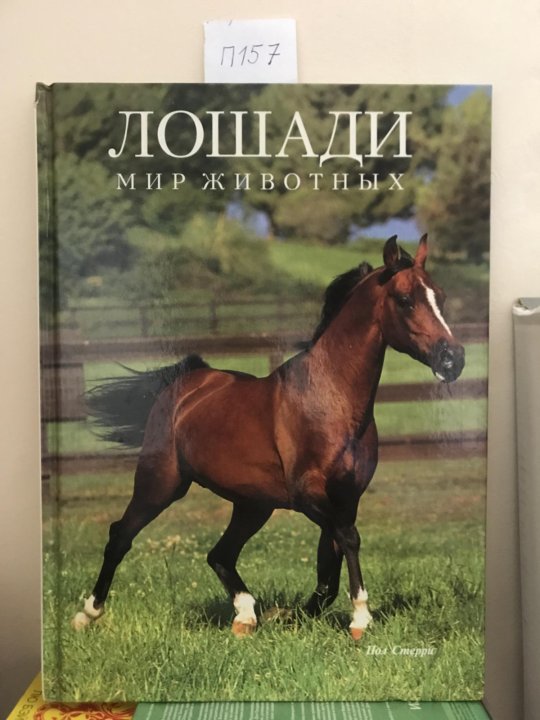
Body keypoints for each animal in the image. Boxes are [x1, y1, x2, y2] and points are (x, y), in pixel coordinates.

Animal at [72, 234, 465, 639]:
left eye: (440, 296)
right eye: (405, 300)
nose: (453, 359)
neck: (330, 400)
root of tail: (187, 382)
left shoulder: (347, 497)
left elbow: (329, 568)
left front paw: (295, 615)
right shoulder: (309, 495)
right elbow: (348, 540)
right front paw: (359, 618)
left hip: (252, 504)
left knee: (220, 554)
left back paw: (246, 616)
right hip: (161, 484)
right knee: (121, 535)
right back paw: (87, 613)